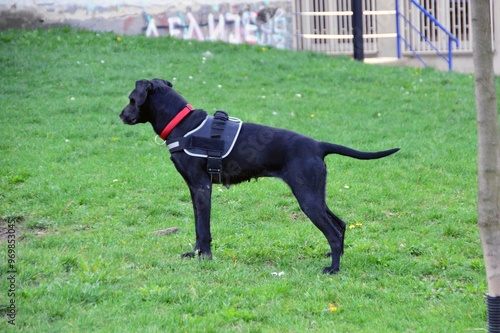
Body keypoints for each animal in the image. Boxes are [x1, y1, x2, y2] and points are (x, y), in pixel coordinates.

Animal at [120, 78, 398, 272]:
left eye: (132, 99)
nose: (121, 115)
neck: (182, 124)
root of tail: (318, 146)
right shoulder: (194, 190)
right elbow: (198, 227)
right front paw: (195, 254)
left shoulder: (202, 187)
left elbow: (204, 228)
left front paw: (206, 259)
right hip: (315, 195)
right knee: (340, 225)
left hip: (307, 199)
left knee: (333, 232)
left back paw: (334, 269)